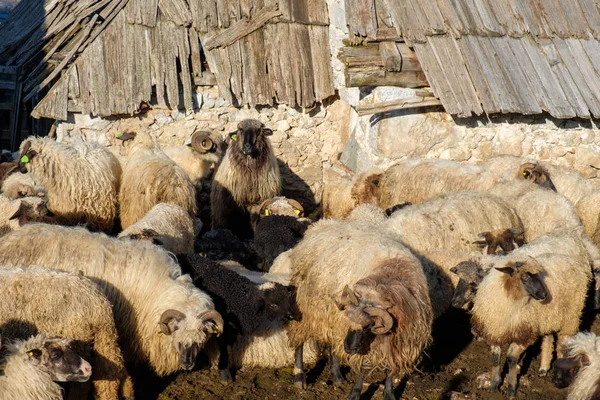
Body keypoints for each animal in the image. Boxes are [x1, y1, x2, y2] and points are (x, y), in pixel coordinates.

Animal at [286, 219, 432, 400]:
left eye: (369, 326)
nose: (349, 348)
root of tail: (320, 224)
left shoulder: (397, 342)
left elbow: (389, 369)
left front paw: (389, 393)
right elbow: (364, 367)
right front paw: (355, 393)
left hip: (330, 317)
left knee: (333, 346)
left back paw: (336, 376)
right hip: (305, 308)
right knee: (300, 340)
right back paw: (300, 377)